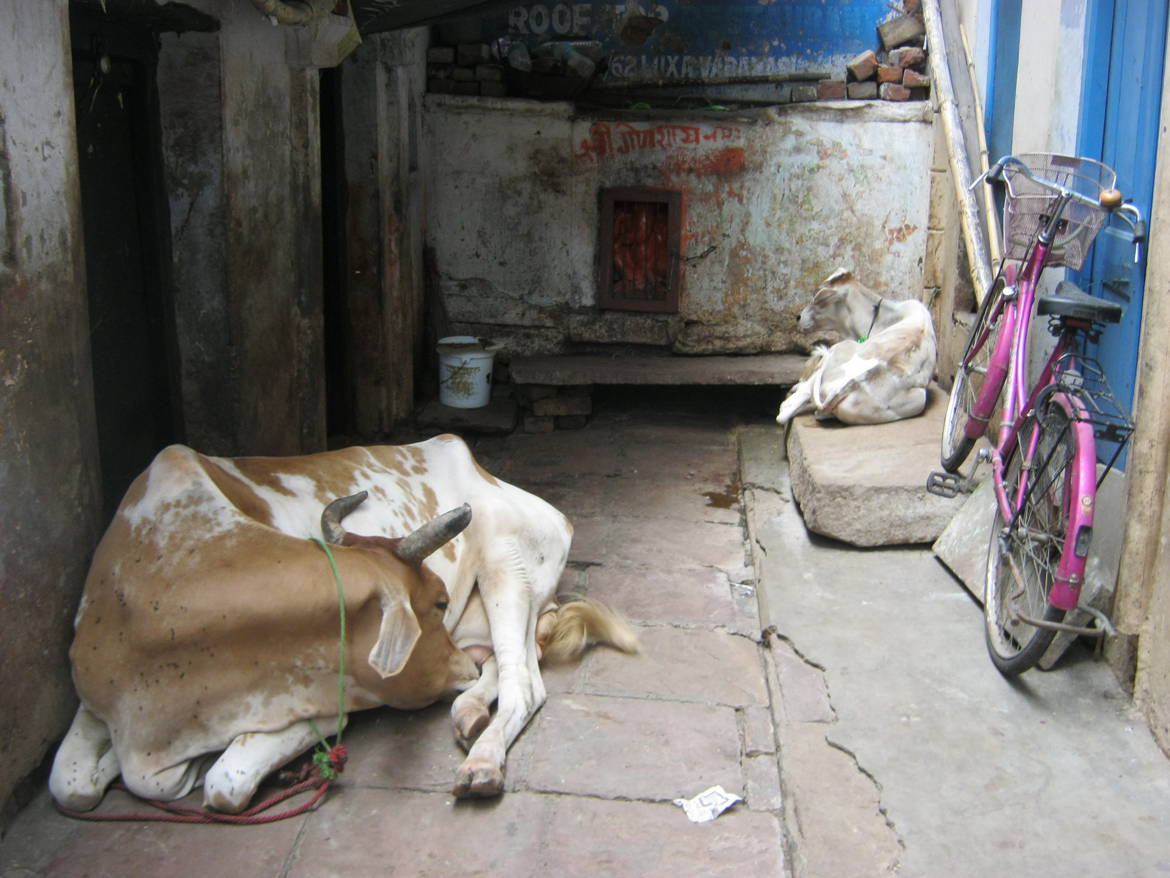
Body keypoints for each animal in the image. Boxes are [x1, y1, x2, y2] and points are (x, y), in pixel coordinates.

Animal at [50, 437, 641, 814]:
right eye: (435, 602)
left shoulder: (330, 703)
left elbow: (224, 782)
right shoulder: (94, 704)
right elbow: (69, 783)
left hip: (507, 570)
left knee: (524, 683)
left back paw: (482, 762)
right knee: (507, 662)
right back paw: (470, 711)